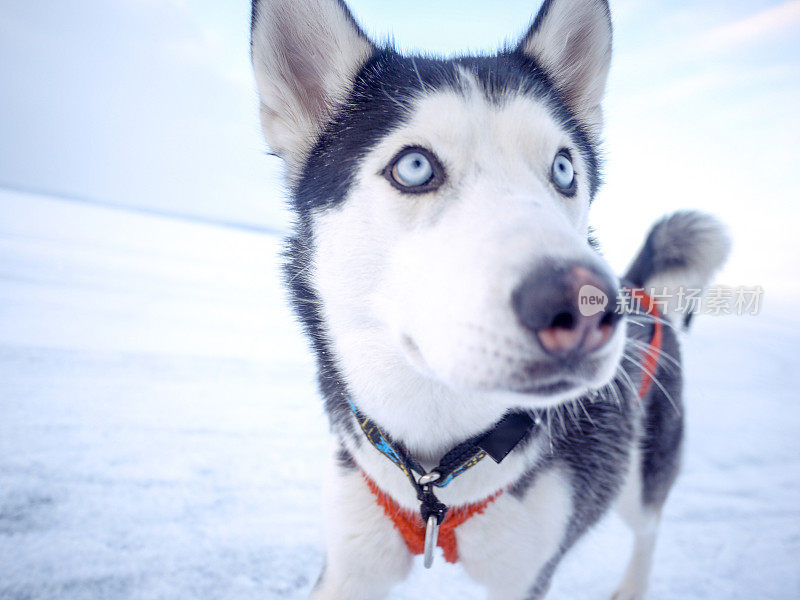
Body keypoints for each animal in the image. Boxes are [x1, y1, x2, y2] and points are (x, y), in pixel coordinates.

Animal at [250, 2, 732, 596]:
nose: (584, 307)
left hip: (638, 478)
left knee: (650, 524)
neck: (436, 467)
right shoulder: (351, 562)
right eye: (414, 166)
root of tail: (641, 289)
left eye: (564, 169)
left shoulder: (525, 573)